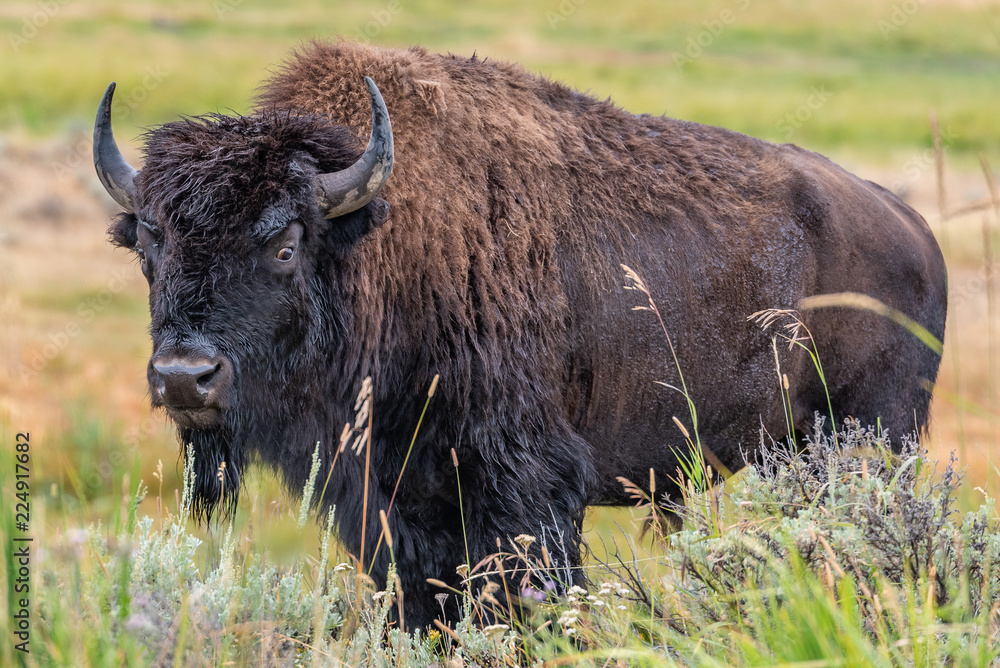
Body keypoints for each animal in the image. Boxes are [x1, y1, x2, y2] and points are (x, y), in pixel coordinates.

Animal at [92, 40, 944, 628]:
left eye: (283, 244)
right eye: (150, 242)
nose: (184, 377)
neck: (382, 240)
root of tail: (911, 226)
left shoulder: (526, 483)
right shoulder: (389, 500)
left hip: (868, 439)